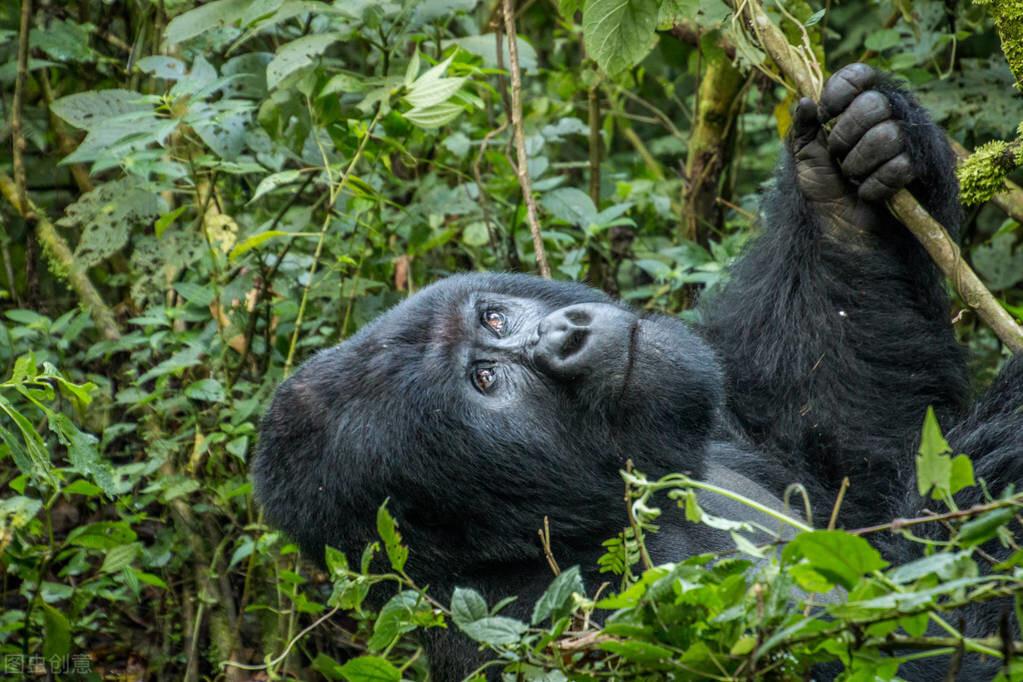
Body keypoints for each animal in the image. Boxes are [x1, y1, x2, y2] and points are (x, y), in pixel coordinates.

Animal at [251, 63, 1023, 678]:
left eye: (493, 319)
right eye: (486, 383)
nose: (564, 333)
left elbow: (846, 452)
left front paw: (846, 179)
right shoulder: (617, 614)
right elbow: (935, 633)